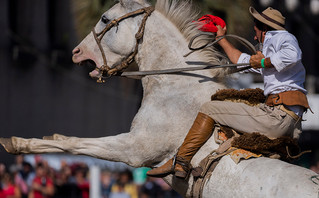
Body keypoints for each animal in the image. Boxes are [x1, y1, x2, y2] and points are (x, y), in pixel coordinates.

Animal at [0, 0, 319, 197]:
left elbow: (77, 145)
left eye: (104, 18)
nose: (77, 52)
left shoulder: (134, 150)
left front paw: (17, 143)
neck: (175, 88)